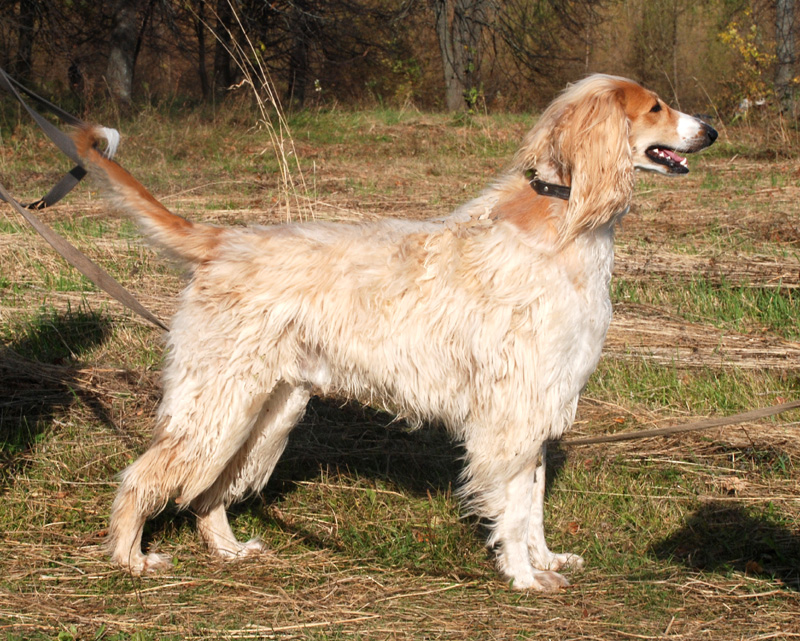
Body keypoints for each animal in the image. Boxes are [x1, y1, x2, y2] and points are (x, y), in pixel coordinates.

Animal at [75, 75, 720, 592]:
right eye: (656, 106)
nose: (712, 131)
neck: (563, 223)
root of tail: (220, 240)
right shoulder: (513, 409)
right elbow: (513, 509)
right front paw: (523, 577)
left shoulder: (539, 403)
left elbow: (532, 501)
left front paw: (546, 560)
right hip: (218, 400)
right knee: (143, 477)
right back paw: (130, 559)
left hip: (265, 407)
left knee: (211, 492)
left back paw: (230, 551)